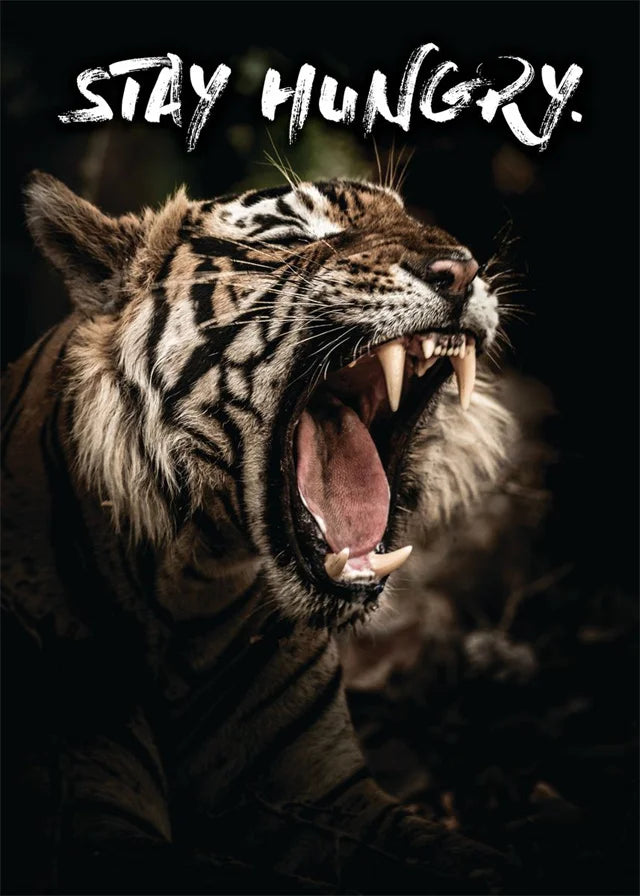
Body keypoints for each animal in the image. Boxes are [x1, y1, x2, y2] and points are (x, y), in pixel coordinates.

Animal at [2, 171, 518, 894]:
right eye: (294, 234)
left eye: (414, 219)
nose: (463, 269)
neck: (193, 582)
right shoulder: (93, 820)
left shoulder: (330, 795)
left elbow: (474, 861)